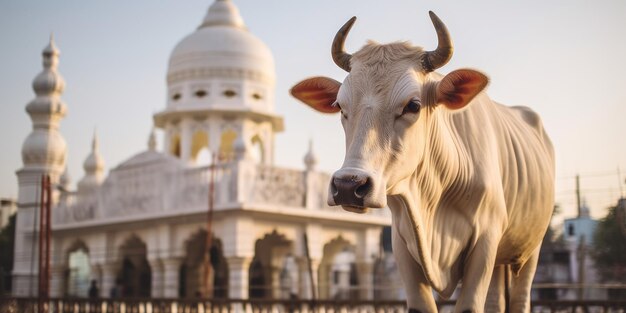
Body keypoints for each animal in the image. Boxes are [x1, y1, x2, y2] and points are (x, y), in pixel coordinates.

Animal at [290, 11, 552, 310]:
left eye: (413, 105)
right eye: (340, 107)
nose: (348, 185)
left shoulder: (486, 241)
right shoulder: (403, 244)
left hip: (531, 248)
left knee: (520, 298)